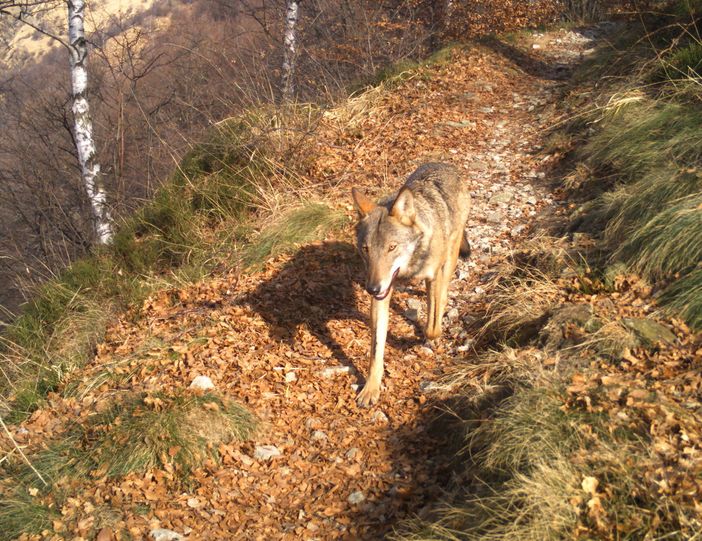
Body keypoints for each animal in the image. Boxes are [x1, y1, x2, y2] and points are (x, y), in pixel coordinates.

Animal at [351, 162, 471, 406]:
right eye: (366, 249)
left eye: (392, 247)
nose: (372, 289)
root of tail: (444, 164)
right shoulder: (383, 294)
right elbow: (376, 349)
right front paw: (370, 388)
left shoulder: (432, 277)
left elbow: (432, 328)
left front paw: (429, 333)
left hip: (450, 256)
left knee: (444, 289)